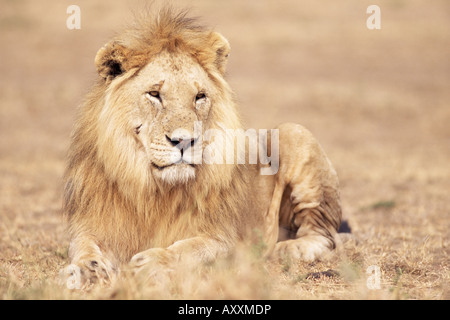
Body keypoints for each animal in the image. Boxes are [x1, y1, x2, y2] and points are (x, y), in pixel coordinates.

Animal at [62, 8, 342, 288]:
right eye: (154, 94)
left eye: (199, 97)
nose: (184, 141)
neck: (155, 192)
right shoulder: (94, 223)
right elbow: (82, 246)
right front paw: (86, 270)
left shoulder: (227, 239)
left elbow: (192, 249)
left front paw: (153, 262)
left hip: (294, 133)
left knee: (324, 236)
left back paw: (287, 248)